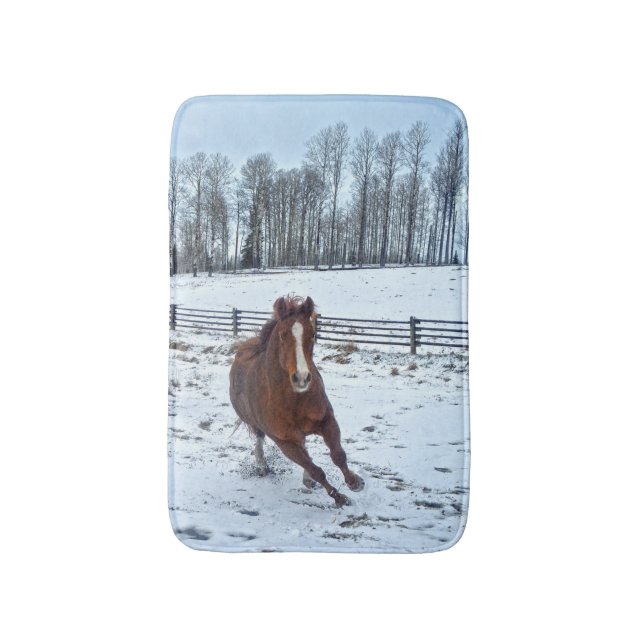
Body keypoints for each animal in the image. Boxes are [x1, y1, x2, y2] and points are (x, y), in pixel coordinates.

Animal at [229, 295, 364, 507]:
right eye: (283, 335)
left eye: (313, 333)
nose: (301, 377)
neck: (294, 400)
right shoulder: (285, 443)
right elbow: (317, 471)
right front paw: (339, 497)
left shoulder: (327, 421)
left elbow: (338, 455)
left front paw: (355, 482)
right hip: (257, 424)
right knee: (260, 439)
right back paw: (262, 465)